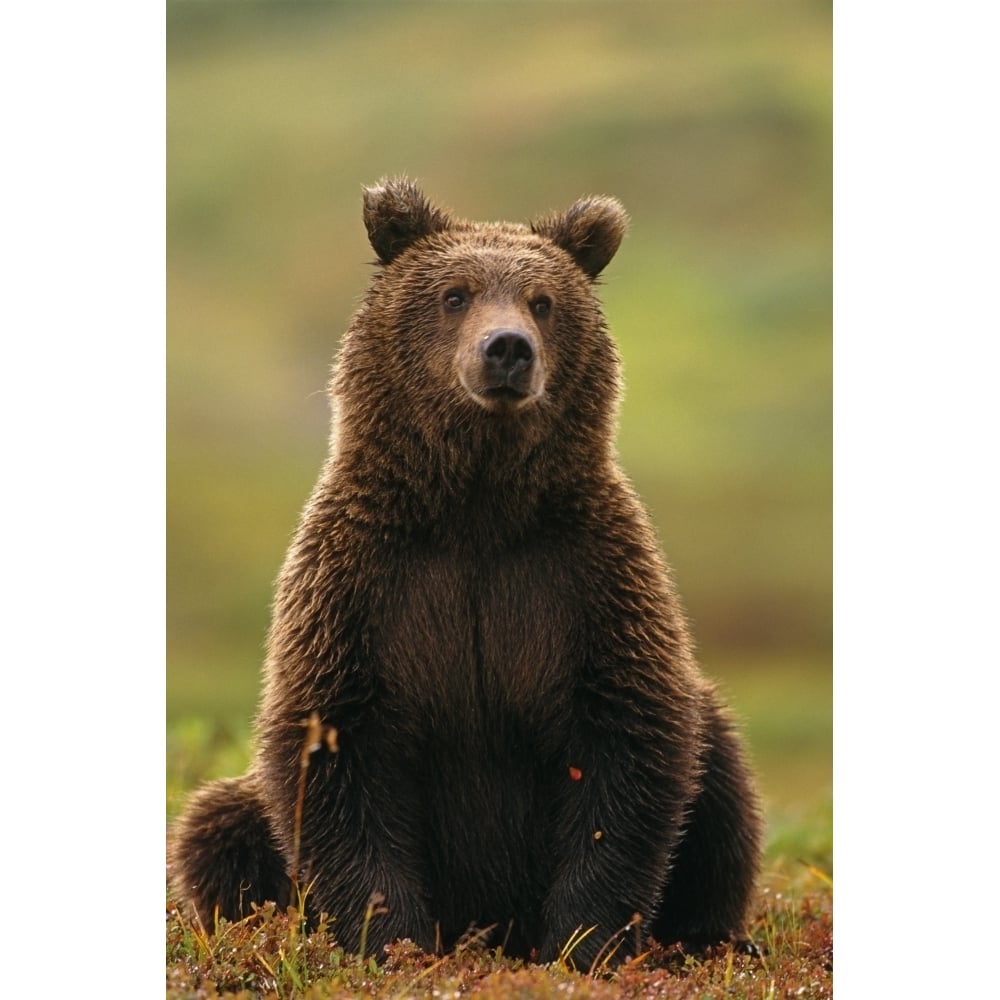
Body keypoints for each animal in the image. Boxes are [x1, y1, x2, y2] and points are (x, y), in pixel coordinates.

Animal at [174, 176, 764, 964]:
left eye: (543, 301)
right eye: (455, 294)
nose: (508, 349)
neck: (476, 510)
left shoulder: (585, 579)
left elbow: (628, 745)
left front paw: (581, 943)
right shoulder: (363, 588)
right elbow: (334, 752)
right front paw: (391, 940)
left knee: (720, 773)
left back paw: (708, 939)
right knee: (218, 824)